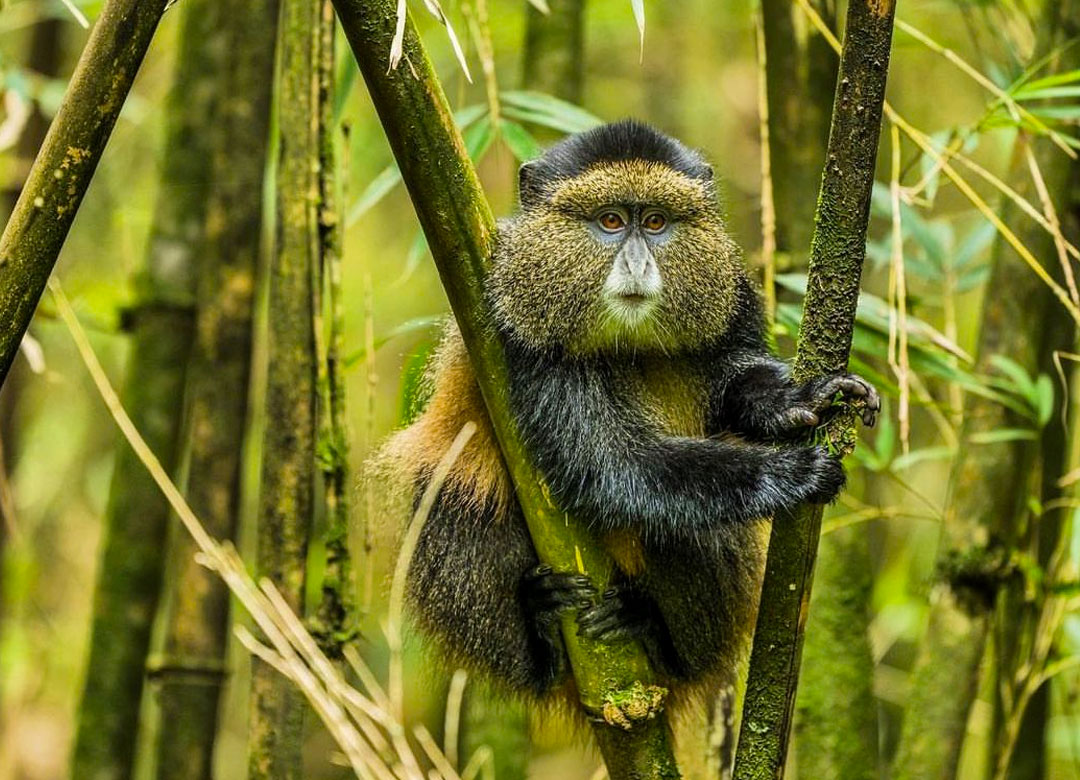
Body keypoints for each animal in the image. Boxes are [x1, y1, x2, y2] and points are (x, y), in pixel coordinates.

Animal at [375, 119, 879, 716]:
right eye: (611, 221)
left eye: (656, 222)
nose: (638, 264)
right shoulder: (518, 339)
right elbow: (612, 465)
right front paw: (791, 475)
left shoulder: (732, 297)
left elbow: (736, 384)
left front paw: (803, 397)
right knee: (451, 498)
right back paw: (542, 633)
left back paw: (658, 637)